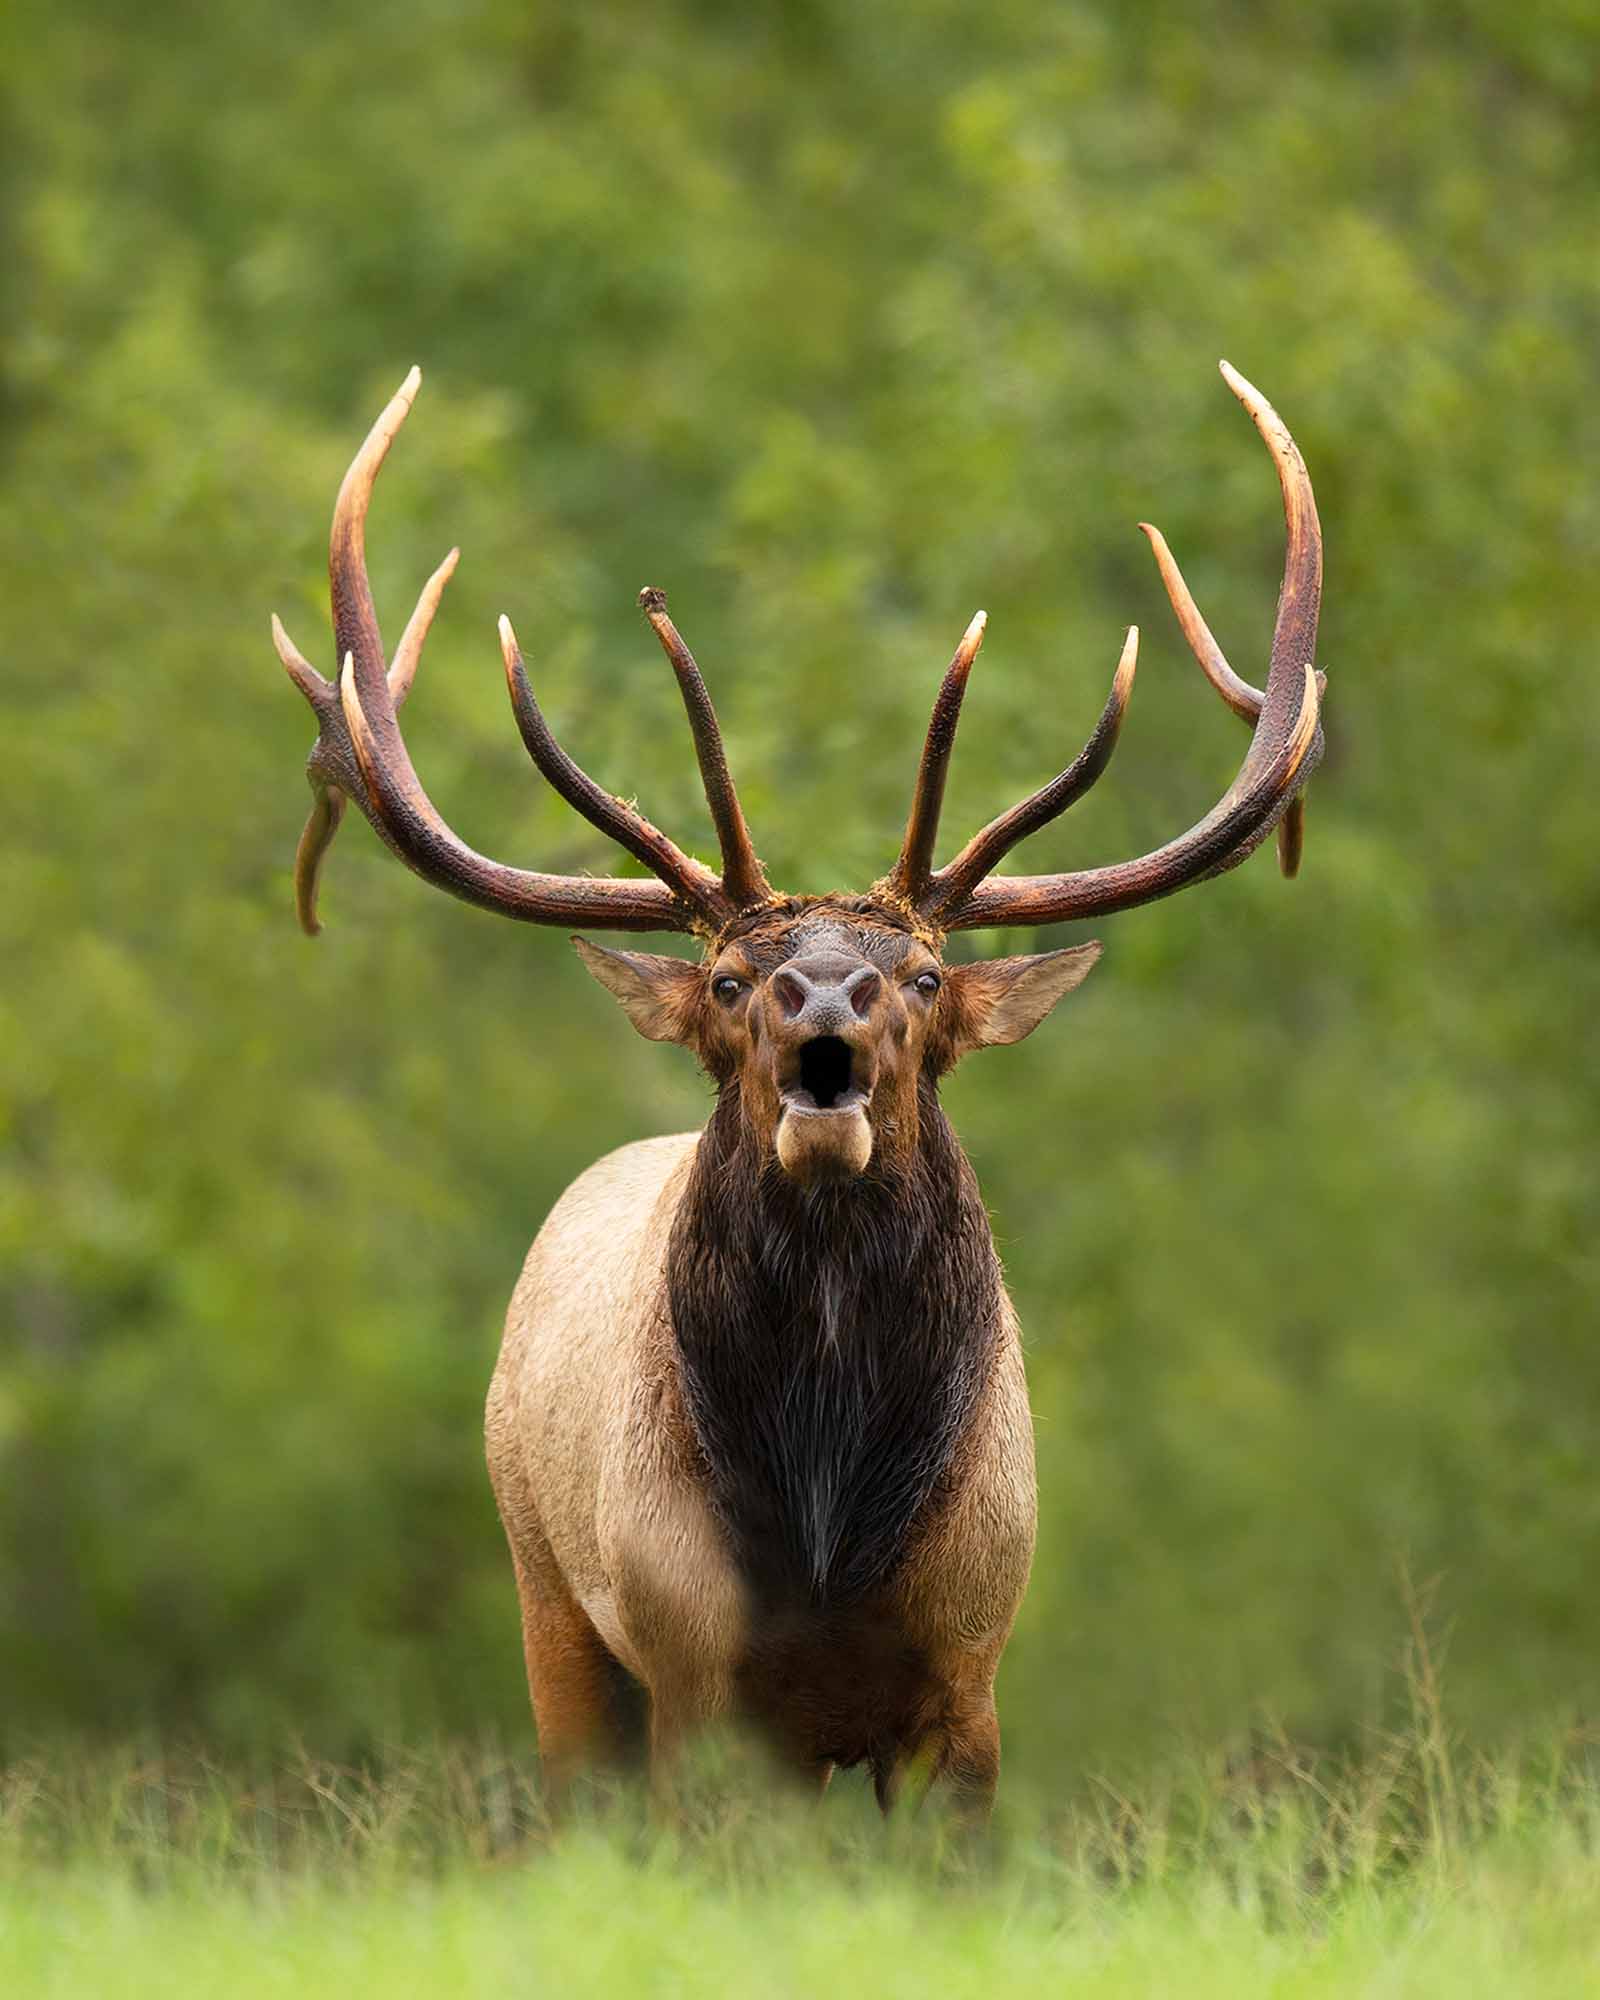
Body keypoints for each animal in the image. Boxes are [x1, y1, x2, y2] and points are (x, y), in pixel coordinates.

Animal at [272, 360, 1328, 1816]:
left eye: (927, 974)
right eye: (727, 978)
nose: (822, 1001)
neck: (826, 1542)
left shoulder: (968, 1666)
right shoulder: (688, 1669)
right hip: (547, 1599)